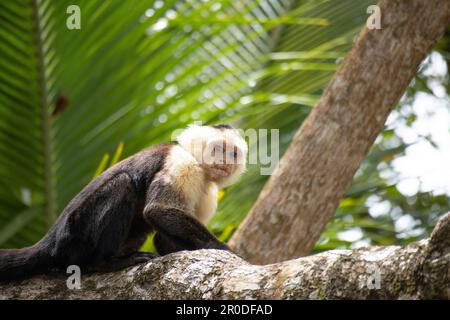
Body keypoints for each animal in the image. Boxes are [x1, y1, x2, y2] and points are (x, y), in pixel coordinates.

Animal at [0, 124, 246, 278]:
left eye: (233, 153)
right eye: (218, 149)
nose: (226, 160)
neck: (201, 168)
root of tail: (51, 240)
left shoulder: (209, 192)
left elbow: (162, 237)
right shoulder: (181, 163)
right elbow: (157, 210)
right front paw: (223, 247)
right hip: (75, 234)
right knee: (123, 184)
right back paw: (104, 263)